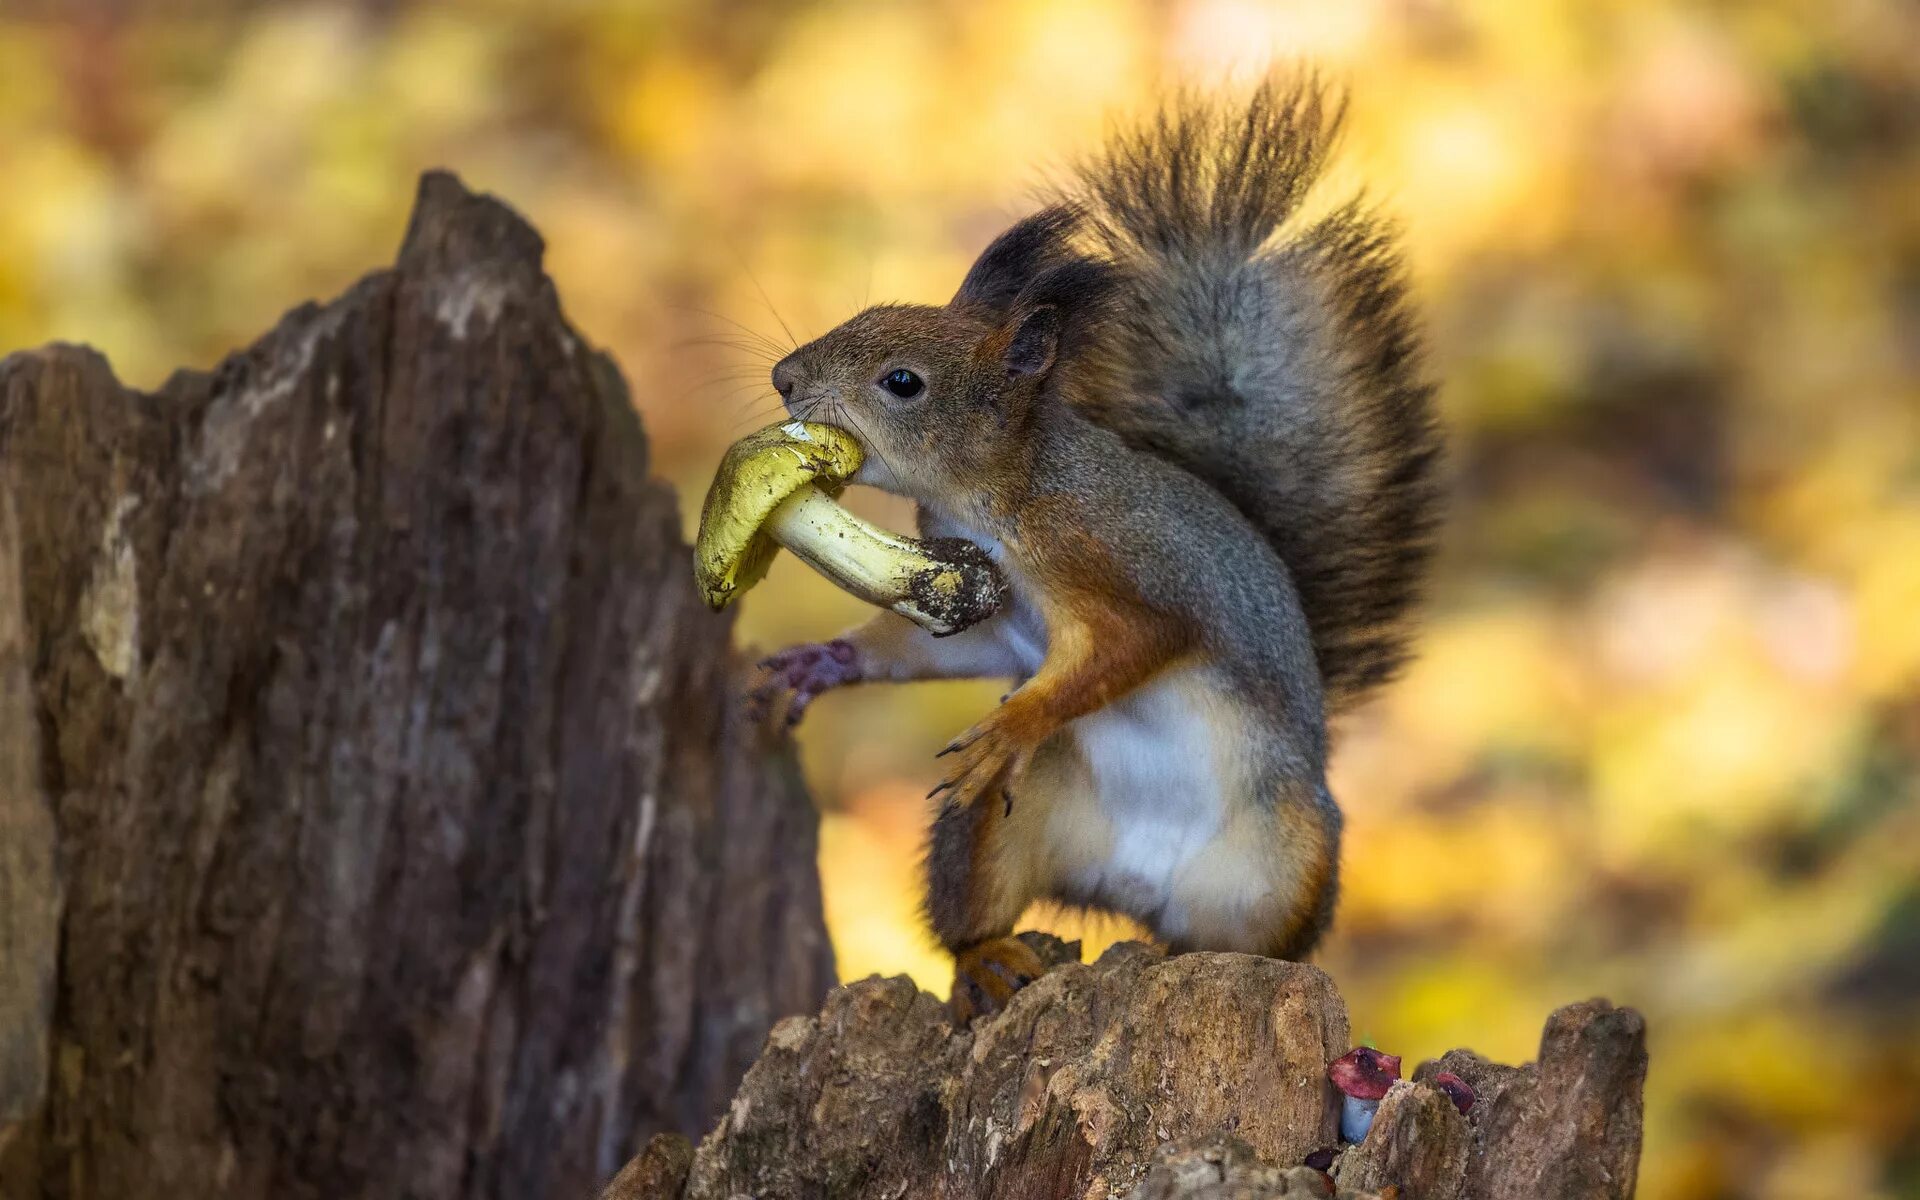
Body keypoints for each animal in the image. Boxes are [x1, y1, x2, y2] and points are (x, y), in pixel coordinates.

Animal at [748, 79, 1443, 1021]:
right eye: (863, 315)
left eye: (903, 383)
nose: (784, 377)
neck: (1002, 492)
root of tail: (1132, 886)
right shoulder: (993, 616)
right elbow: (940, 649)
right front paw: (821, 663)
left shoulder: (1105, 558)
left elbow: (1139, 641)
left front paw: (1016, 723)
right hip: (1001, 826)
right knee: (972, 912)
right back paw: (987, 959)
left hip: (1287, 858)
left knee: (1251, 943)